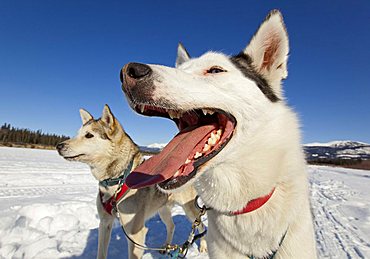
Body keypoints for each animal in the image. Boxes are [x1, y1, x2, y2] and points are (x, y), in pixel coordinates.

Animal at [56, 104, 207, 258]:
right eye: (77, 134)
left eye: (89, 135)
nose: (58, 146)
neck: (118, 180)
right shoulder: (105, 223)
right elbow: (101, 252)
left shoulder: (135, 234)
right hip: (162, 209)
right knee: (171, 225)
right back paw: (166, 247)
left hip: (189, 209)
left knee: (201, 226)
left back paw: (202, 247)